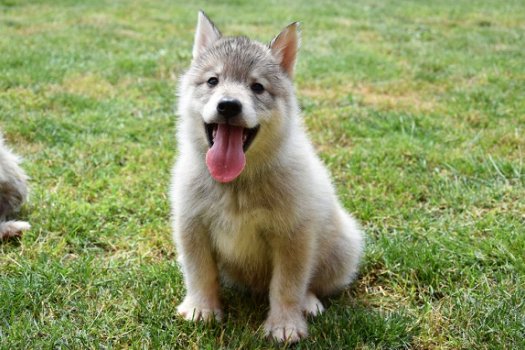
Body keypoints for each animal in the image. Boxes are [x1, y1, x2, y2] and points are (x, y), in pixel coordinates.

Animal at [170, 11, 362, 344]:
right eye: (212, 81)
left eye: (257, 87)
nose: (228, 105)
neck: (237, 185)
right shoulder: (192, 226)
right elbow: (199, 273)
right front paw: (201, 309)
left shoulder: (293, 237)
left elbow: (287, 286)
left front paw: (285, 325)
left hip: (342, 246)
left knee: (313, 283)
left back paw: (309, 302)